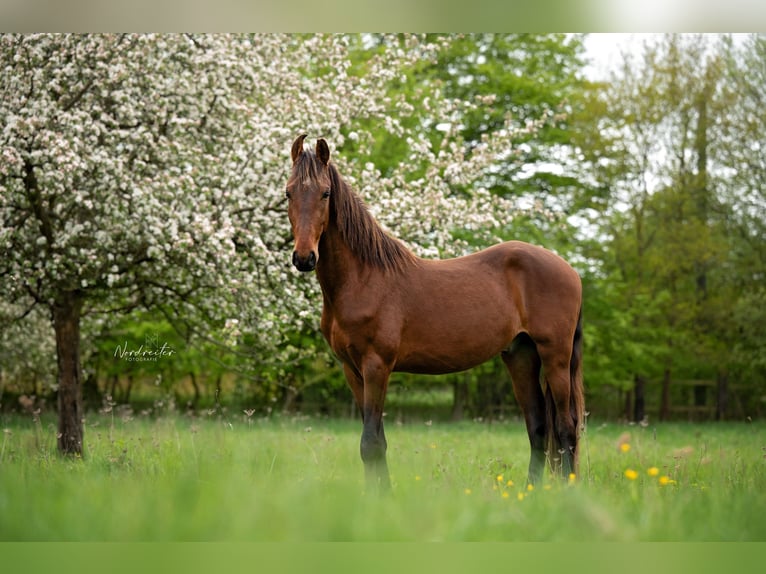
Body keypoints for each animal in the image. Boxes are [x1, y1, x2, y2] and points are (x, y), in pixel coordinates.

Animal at [284, 134, 584, 490]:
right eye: (288, 192)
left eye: (326, 193)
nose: (304, 257)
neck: (363, 278)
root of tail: (571, 270)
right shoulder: (352, 370)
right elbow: (375, 441)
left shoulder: (376, 366)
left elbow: (371, 443)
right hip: (521, 356)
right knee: (538, 427)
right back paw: (531, 492)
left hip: (556, 357)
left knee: (565, 429)